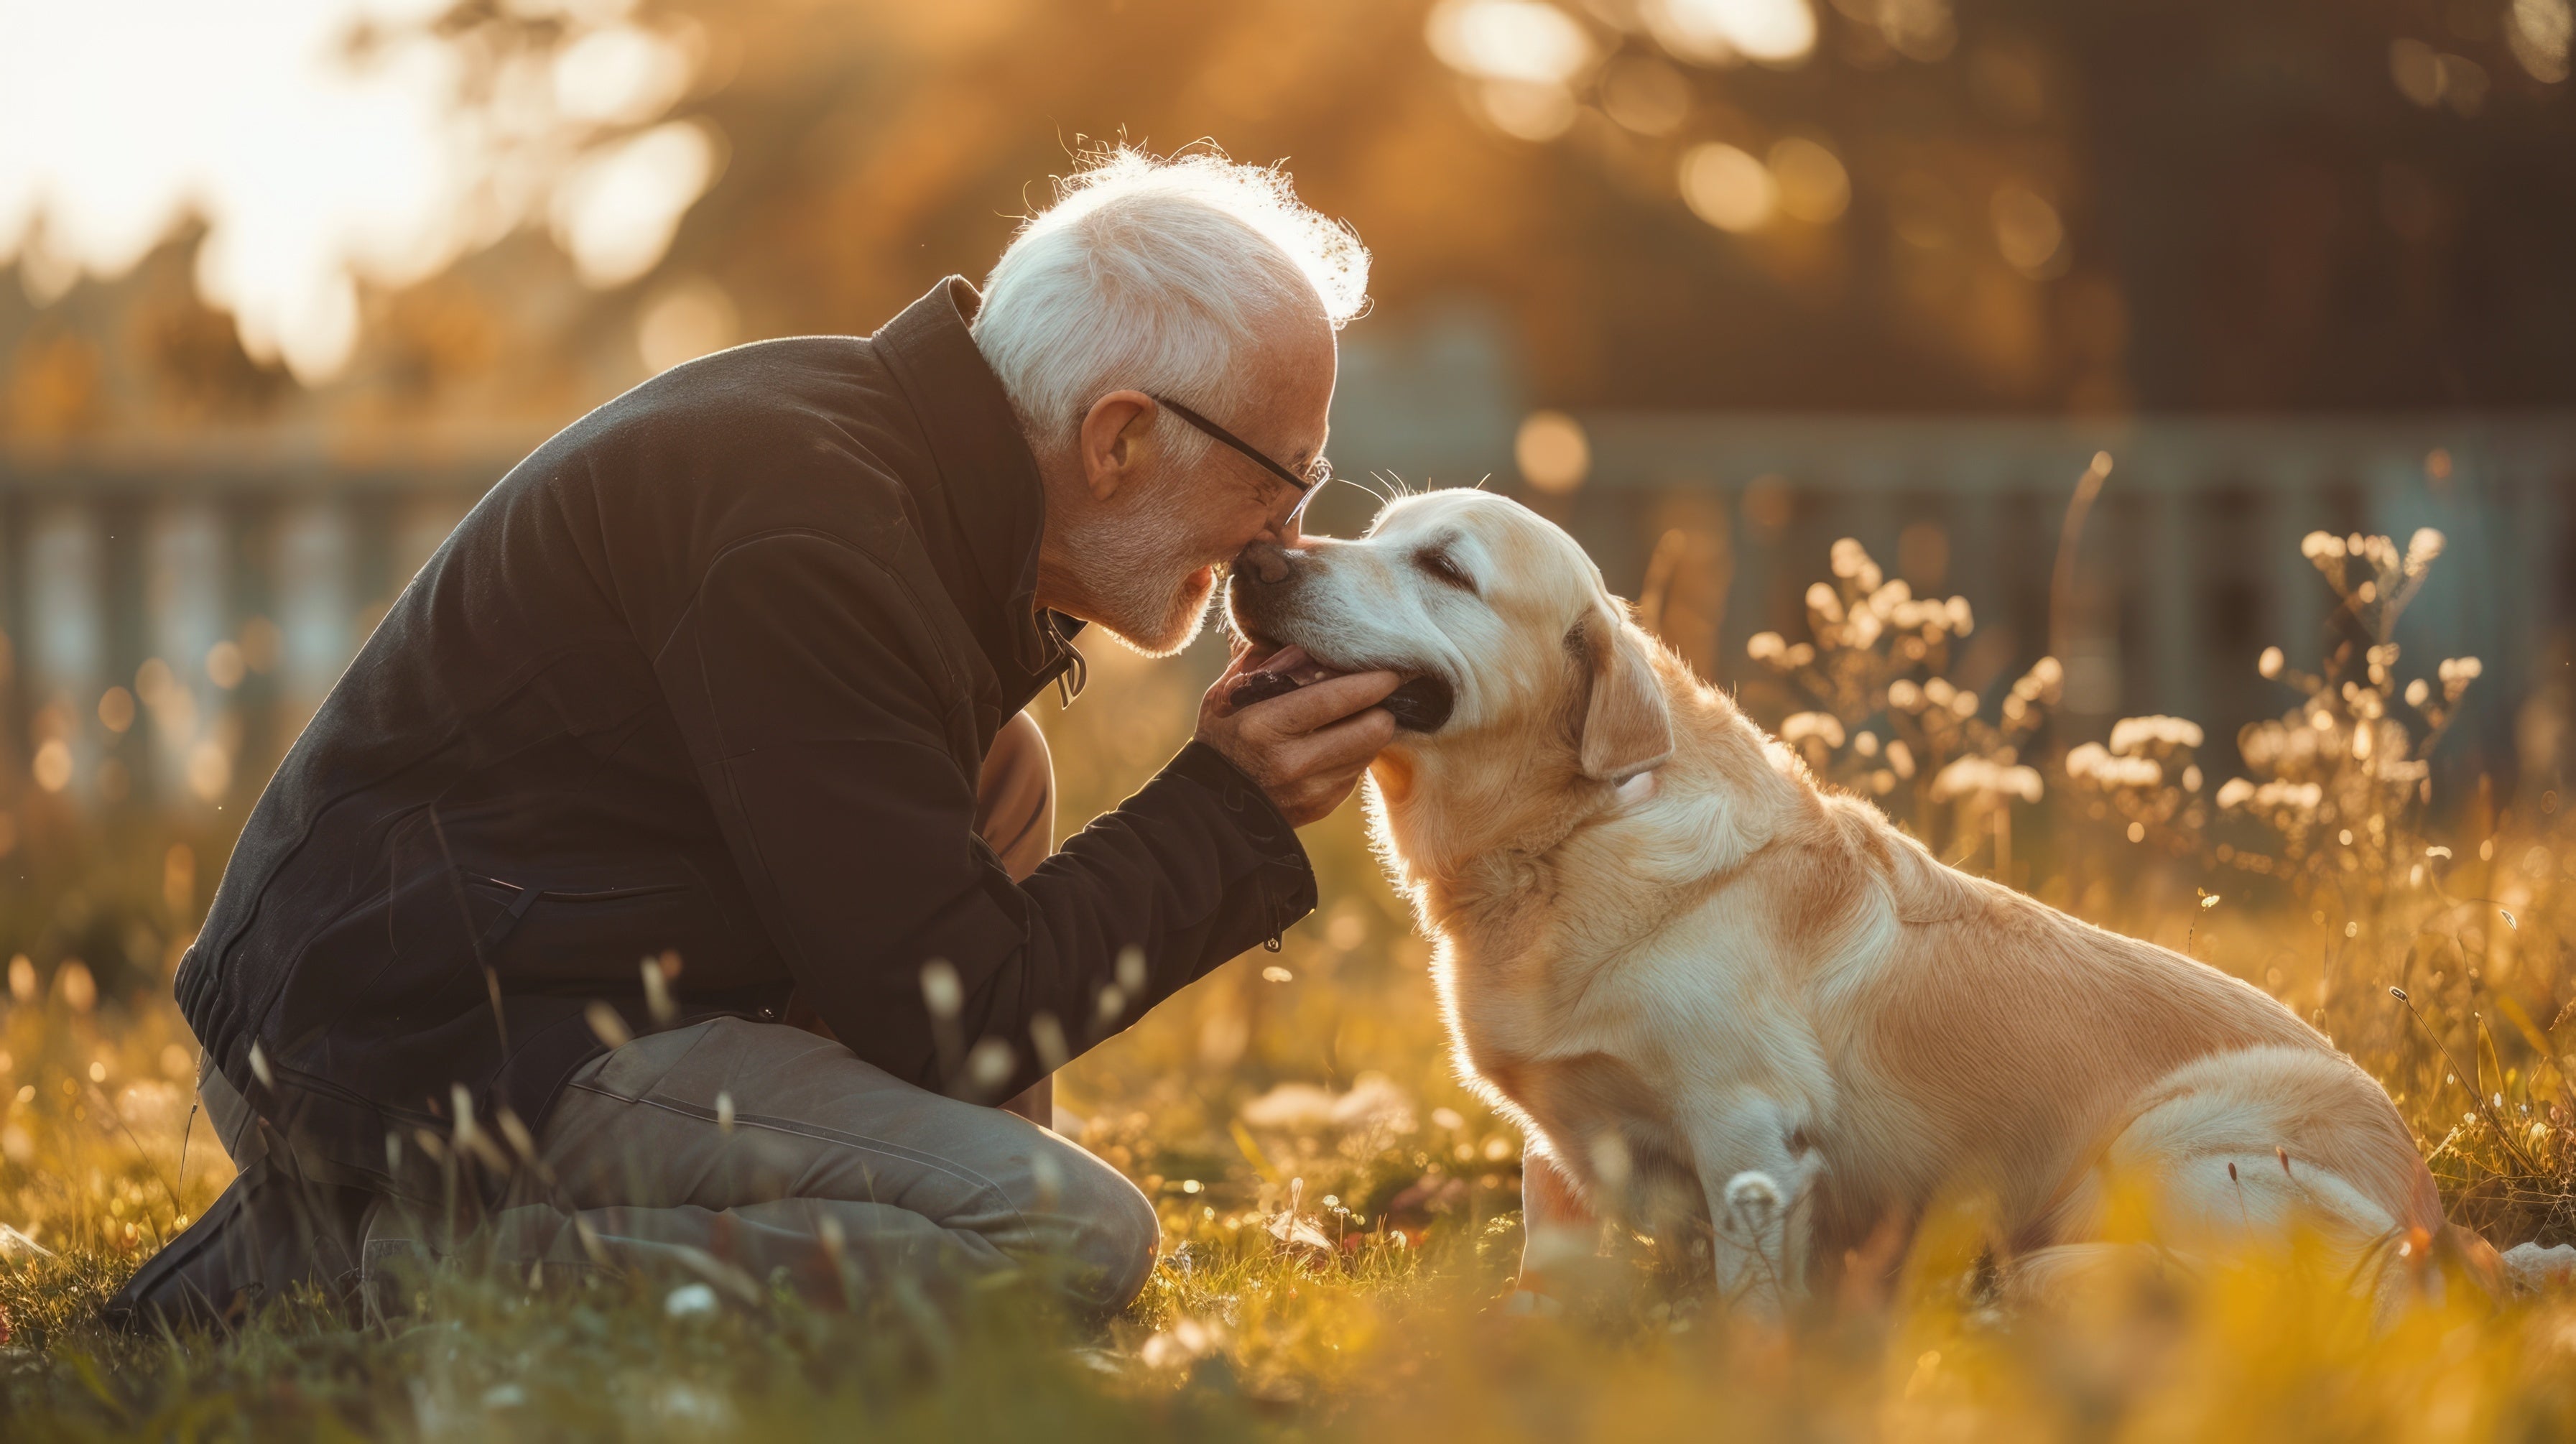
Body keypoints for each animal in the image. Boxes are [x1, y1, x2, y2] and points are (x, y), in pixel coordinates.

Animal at [1231, 489, 2555, 1313]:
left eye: (1444, 567)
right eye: (1373, 530)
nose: (1257, 556)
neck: (1562, 840)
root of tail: (2446, 1223)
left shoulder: (1750, 1137)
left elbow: (1749, 1309)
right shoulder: (1555, 1149)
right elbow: (1545, 1284)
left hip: (2176, 1153)